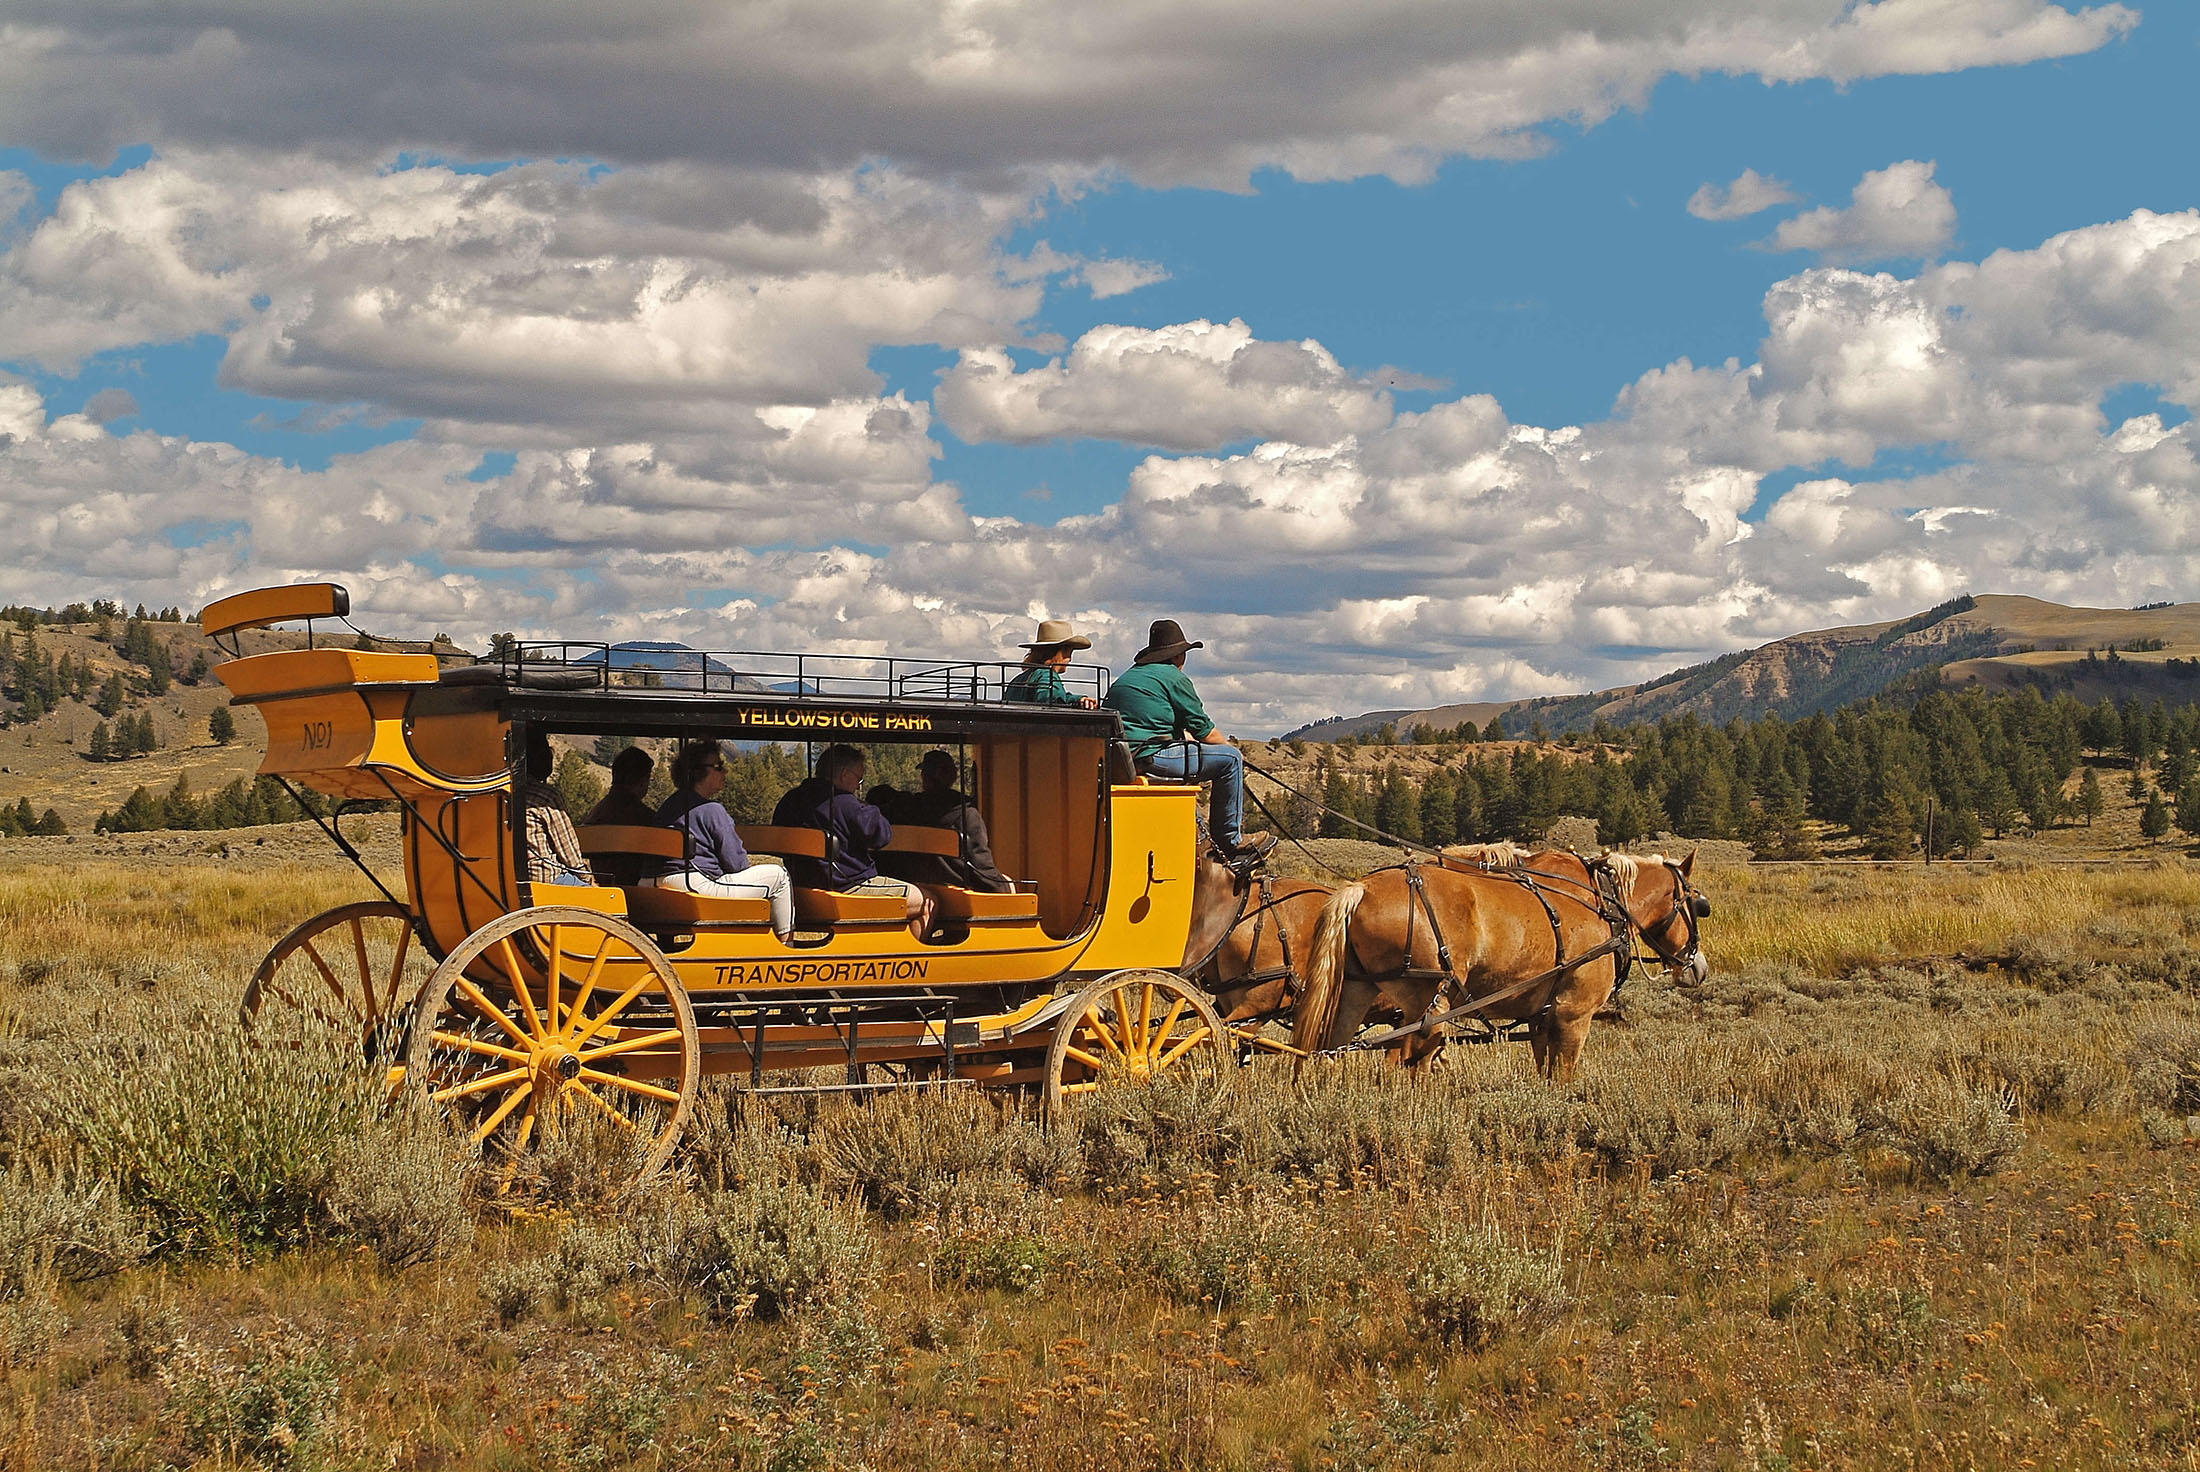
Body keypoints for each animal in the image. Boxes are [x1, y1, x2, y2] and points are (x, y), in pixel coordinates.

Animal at [1284, 844, 1716, 1073]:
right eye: (1698, 904)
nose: (1698, 968)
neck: (1602, 902)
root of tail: (1361, 888)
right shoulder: (1573, 1015)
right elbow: (1564, 1078)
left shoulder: (1542, 1019)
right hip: (1426, 1005)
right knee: (1412, 1064)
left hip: (1354, 994)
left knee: (1327, 1053)